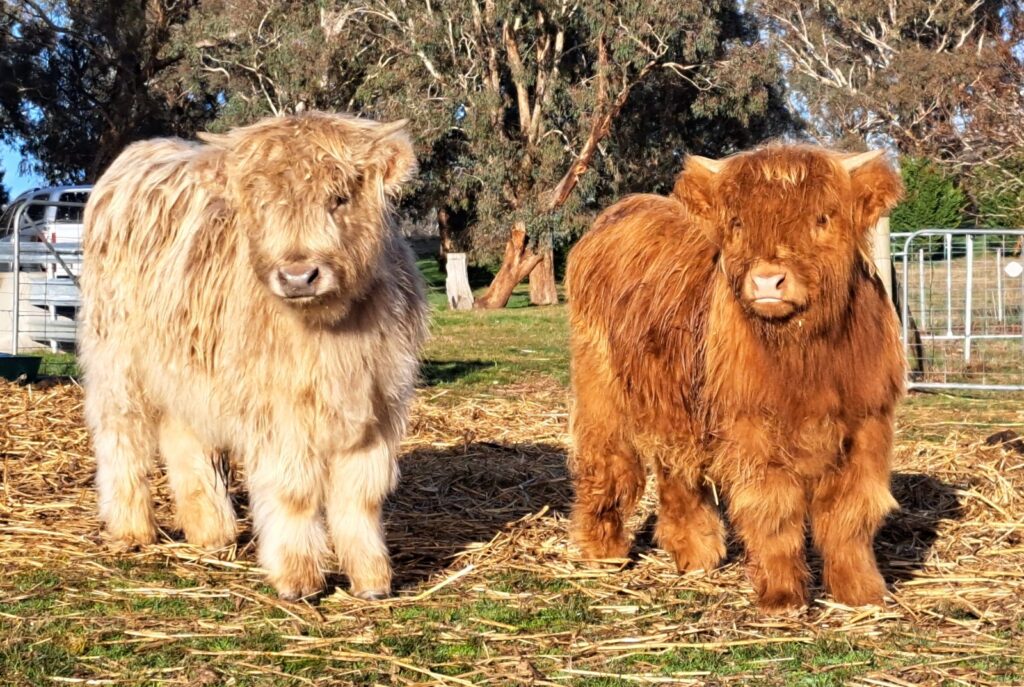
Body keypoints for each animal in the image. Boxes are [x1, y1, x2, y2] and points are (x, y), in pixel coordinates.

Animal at [80, 112, 428, 601]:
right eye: (262, 205)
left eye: (339, 198)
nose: (298, 276)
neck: (332, 336)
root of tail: (142, 150)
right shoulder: (279, 413)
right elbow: (293, 491)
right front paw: (299, 579)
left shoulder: (379, 405)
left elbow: (362, 494)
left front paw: (373, 580)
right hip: (117, 359)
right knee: (120, 436)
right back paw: (131, 529)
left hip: (183, 368)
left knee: (183, 438)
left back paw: (212, 532)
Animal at [566, 145, 905, 612]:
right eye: (738, 223)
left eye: (822, 218)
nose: (767, 280)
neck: (806, 360)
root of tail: (622, 209)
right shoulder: (753, 430)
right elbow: (773, 512)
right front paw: (783, 597)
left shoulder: (866, 425)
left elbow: (851, 515)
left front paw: (862, 593)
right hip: (602, 387)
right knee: (608, 462)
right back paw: (604, 552)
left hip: (675, 401)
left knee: (676, 470)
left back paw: (696, 554)